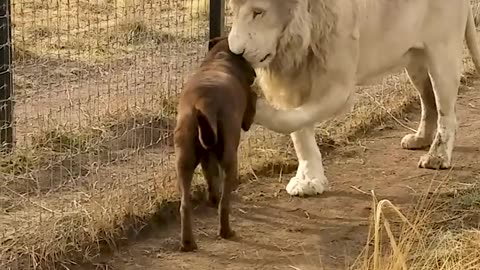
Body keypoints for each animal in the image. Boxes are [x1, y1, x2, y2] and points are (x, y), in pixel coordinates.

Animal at [173, 37, 256, 252]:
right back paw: (226, 231)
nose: (254, 74)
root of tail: (204, 102)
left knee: (185, 205)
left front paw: (212, 196)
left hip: (184, 159)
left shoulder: (206, 158)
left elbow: (210, 176)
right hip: (230, 160)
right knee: (224, 204)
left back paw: (188, 243)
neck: (220, 58)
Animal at [227, 0, 480, 195]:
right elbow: (299, 132)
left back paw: (437, 157)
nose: (236, 53)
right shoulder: (295, 78)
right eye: (233, 10)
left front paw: (255, 106)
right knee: (428, 101)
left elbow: (290, 120)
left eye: (258, 12)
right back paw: (420, 139)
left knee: (447, 113)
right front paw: (309, 180)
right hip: (415, 59)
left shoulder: (338, 86)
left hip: (442, 51)